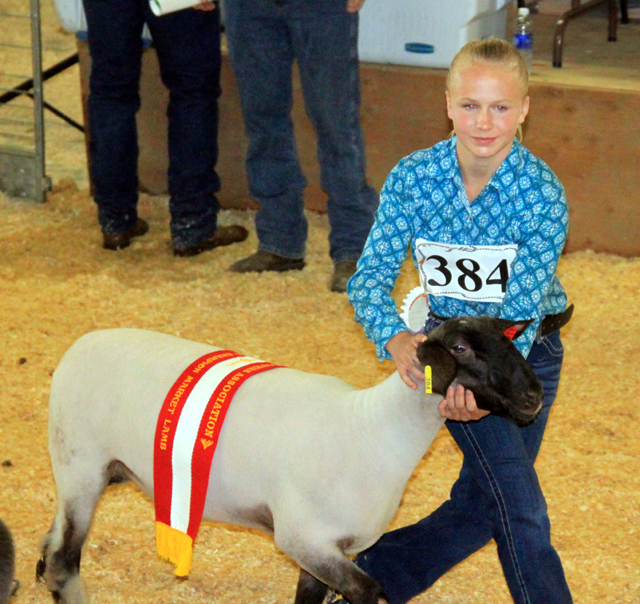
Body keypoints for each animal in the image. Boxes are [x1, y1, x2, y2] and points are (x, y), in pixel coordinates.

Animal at [36, 316, 543, 604]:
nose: (534, 397)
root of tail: (74, 350)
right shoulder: (303, 537)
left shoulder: (327, 548)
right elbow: (368, 592)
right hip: (82, 464)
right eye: (460, 349)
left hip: (96, 472)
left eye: (510, 342)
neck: (376, 430)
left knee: (50, 546)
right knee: (62, 560)